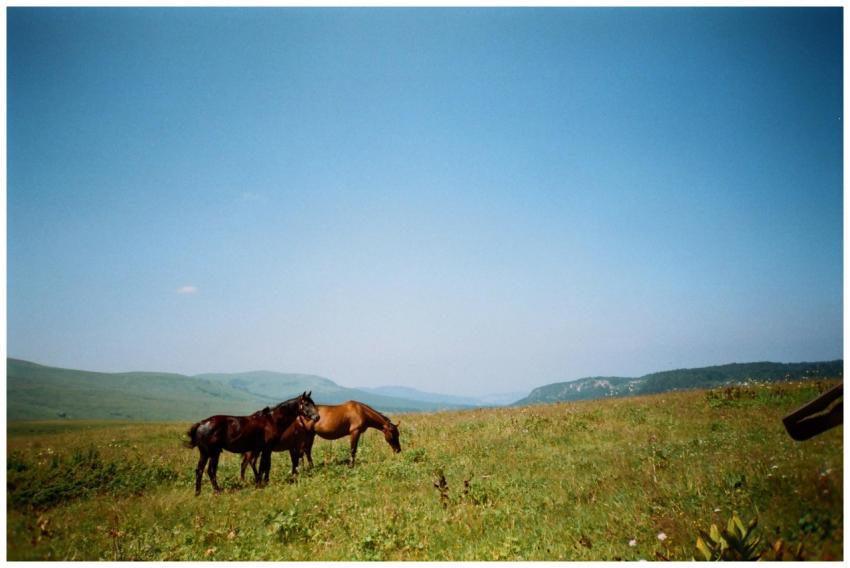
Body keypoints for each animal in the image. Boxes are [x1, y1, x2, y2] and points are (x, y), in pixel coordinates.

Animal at [185, 391, 320, 495]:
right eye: (306, 404)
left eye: (313, 403)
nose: (317, 417)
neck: (271, 420)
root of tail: (201, 424)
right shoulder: (267, 448)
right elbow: (264, 465)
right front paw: (262, 483)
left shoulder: (265, 449)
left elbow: (264, 465)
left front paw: (261, 482)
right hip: (214, 453)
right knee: (211, 471)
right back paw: (217, 491)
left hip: (205, 453)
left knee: (199, 470)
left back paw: (198, 493)